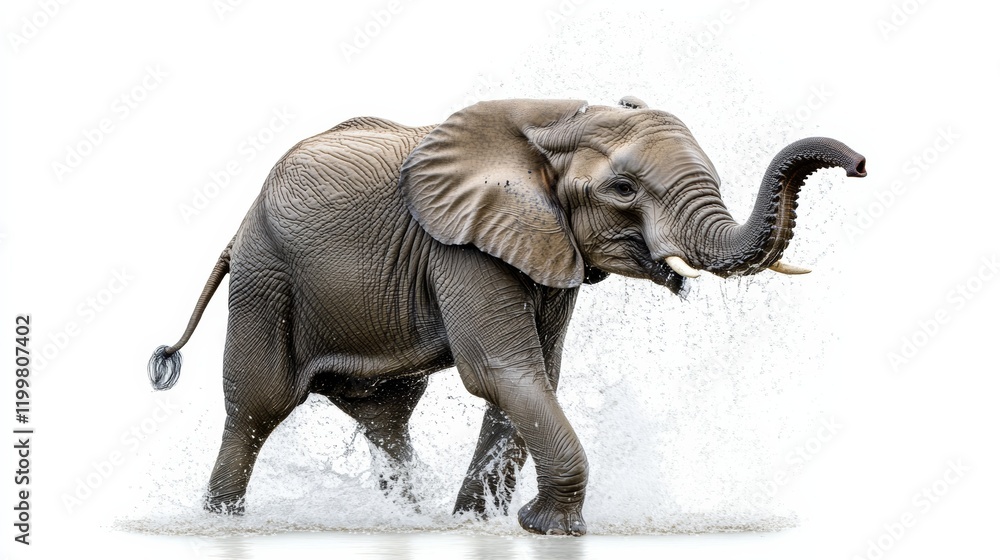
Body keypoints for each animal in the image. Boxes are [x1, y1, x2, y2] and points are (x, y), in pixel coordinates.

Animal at [148, 97, 865, 536]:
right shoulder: (459, 242)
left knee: (387, 416)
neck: (555, 120)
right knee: (256, 407)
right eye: (622, 190)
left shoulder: (545, 244)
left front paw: (480, 525)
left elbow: (534, 374)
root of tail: (238, 229)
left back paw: (420, 519)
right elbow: (501, 369)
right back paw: (222, 523)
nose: (860, 165)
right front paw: (547, 529)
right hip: (266, 278)